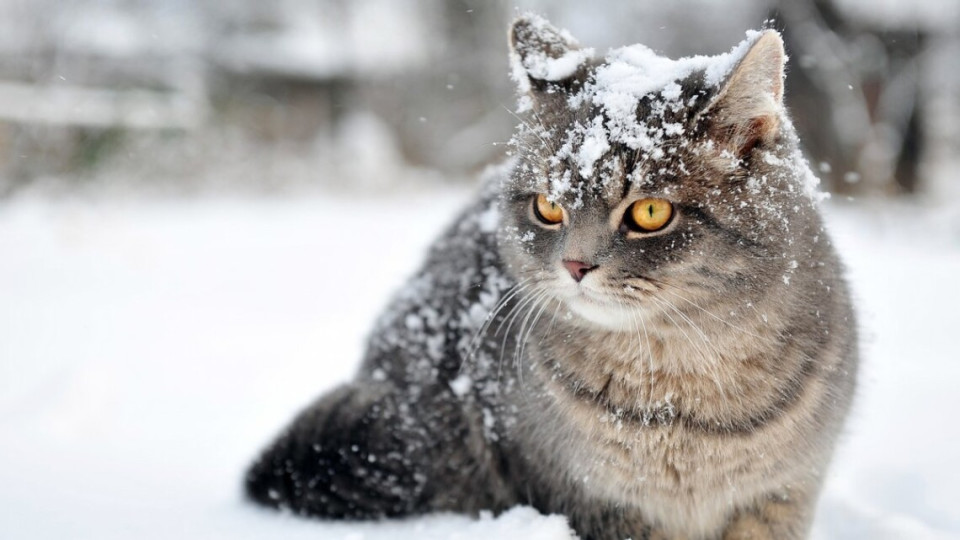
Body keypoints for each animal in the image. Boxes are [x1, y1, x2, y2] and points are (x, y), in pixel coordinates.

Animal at [244, 13, 860, 540]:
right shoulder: (591, 499)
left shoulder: (781, 495)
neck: (681, 399)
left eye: (650, 212)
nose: (575, 265)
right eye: (547, 207)